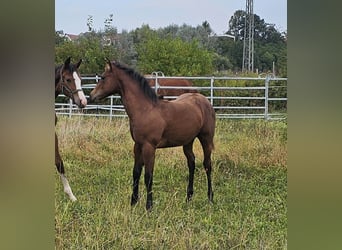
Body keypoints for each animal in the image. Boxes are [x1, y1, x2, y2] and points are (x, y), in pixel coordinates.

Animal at [89, 59, 215, 210]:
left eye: (103, 78)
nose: (91, 96)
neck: (145, 109)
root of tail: (204, 100)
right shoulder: (138, 145)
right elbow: (136, 173)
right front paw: (133, 202)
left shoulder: (149, 147)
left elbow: (148, 176)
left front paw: (149, 206)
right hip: (188, 141)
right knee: (191, 163)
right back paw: (188, 197)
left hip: (206, 139)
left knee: (207, 165)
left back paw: (210, 198)